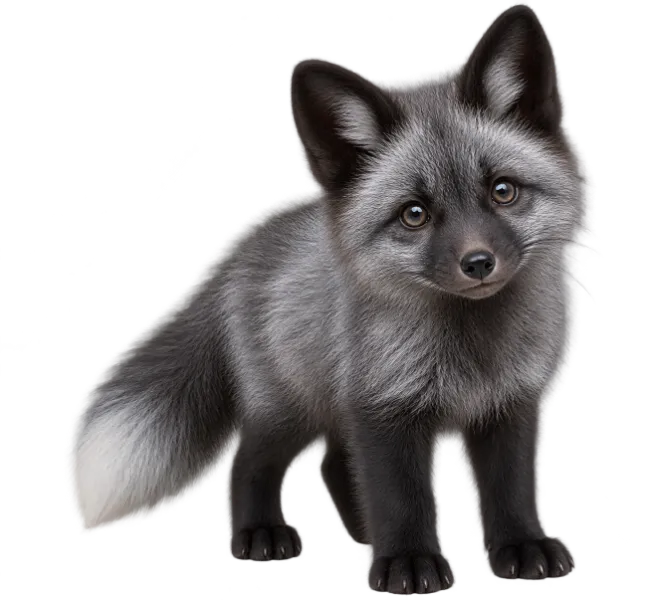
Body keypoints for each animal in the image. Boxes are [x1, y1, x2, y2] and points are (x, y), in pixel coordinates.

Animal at [65, 2, 593, 594]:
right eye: (414, 214)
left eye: (503, 191)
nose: (478, 264)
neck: (472, 351)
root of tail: (238, 253)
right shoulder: (384, 408)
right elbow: (400, 497)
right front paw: (409, 562)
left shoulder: (510, 406)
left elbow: (510, 491)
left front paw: (521, 548)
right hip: (289, 407)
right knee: (251, 459)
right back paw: (262, 536)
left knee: (334, 463)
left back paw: (361, 536)